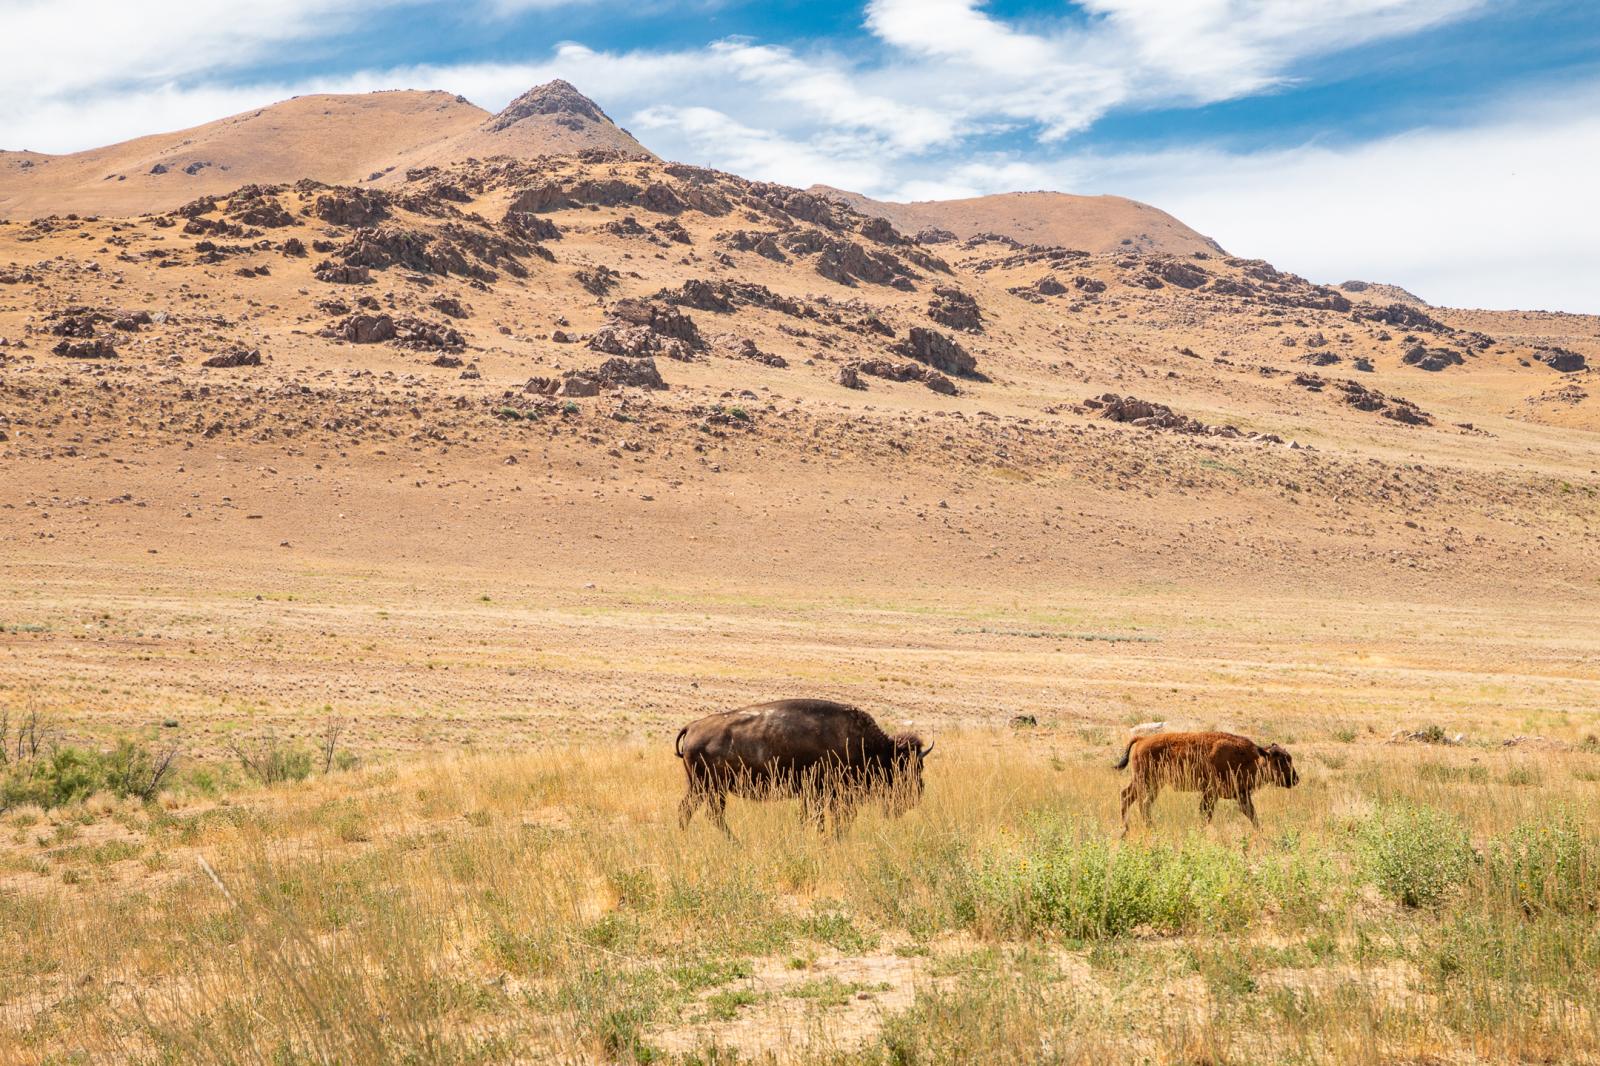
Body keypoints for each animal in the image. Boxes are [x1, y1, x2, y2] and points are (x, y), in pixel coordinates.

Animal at [672, 697, 928, 838]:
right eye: (905, 767)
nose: (916, 795)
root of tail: (693, 726)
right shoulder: (824, 793)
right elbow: (825, 819)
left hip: (704, 788)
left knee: (694, 811)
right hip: (709, 788)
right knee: (704, 813)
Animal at [1113, 726, 1299, 832]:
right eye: (1280, 761)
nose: (1295, 779)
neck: (1251, 757)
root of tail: (1142, 739)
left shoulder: (1241, 794)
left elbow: (1252, 814)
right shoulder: (1211, 793)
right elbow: (1206, 814)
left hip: (1148, 783)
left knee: (1128, 797)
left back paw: (1127, 828)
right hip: (1147, 781)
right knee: (1140, 802)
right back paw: (1144, 827)